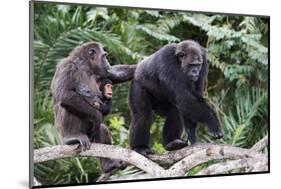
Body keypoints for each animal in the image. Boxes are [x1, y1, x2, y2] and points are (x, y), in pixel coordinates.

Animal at [52, 41, 136, 173]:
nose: (108, 62)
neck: (86, 65)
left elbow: (116, 73)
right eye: (104, 56)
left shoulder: (104, 72)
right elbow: (65, 95)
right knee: (67, 105)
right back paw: (71, 138)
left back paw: (108, 165)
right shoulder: (66, 67)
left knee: (102, 130)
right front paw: (97, 116)